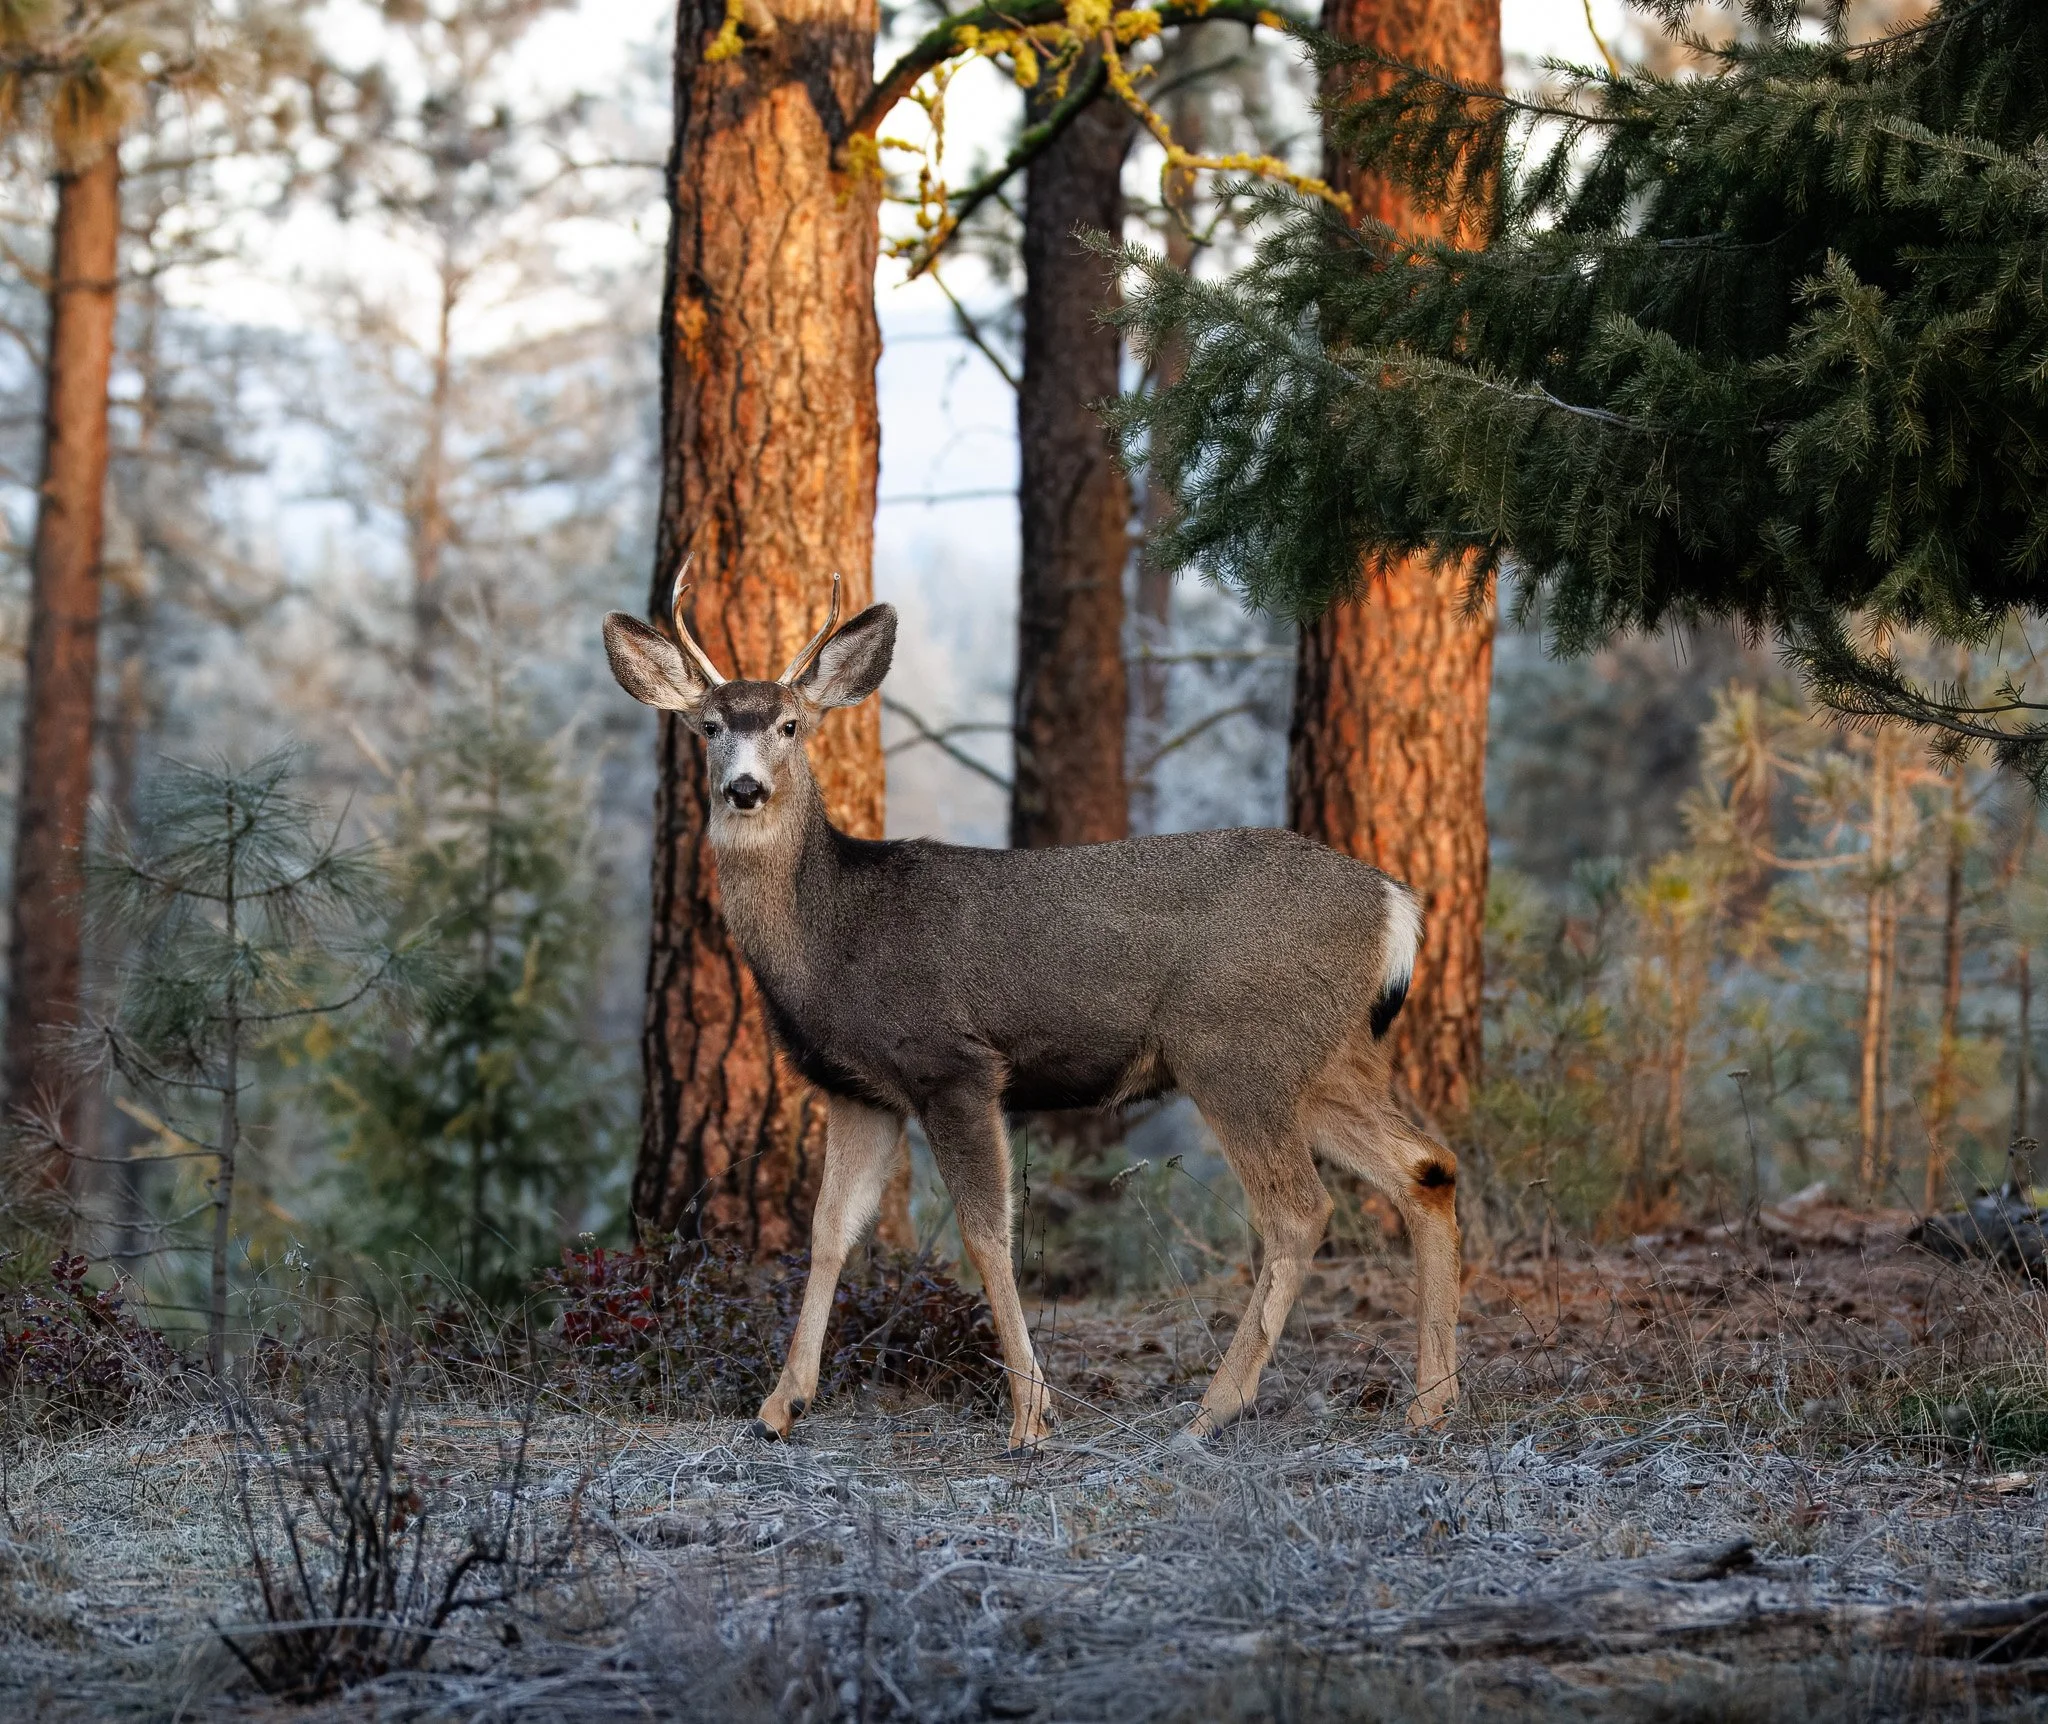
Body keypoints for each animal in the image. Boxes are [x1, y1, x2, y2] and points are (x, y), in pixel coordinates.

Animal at [602, 571, 1462, 1453]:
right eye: (709, 726)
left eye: (789, 723)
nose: (745, 789)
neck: (831, 936)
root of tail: (1396, 905)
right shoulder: (862, 1089)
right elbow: (829, 1229)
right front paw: (781, 1407)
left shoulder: (954, 1064)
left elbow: (986, 1234)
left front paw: (1030, 1415)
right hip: (1322, 1060)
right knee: (1426, 1167)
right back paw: (1431, 1401)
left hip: (1235, 1050)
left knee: (1298, 1210)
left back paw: (1214, 1408)